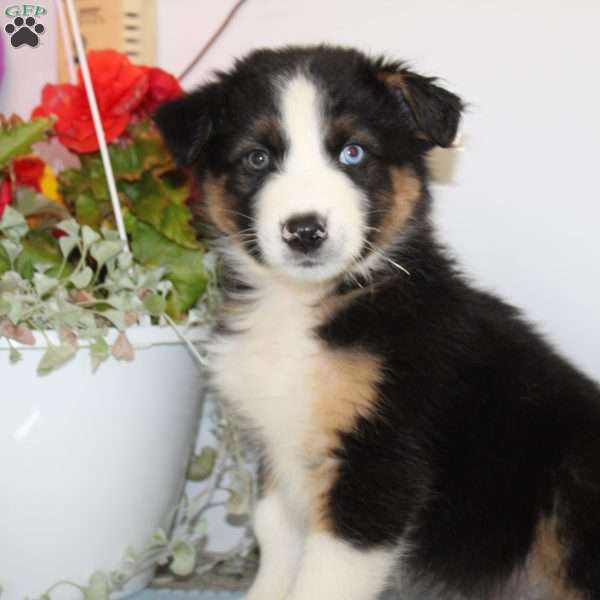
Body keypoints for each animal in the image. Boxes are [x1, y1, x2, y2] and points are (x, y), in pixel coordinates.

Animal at [157, 45, 600, 600]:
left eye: (354, 153)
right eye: (257, 158)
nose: (305, 231)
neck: (303, 305)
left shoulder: (379, 460)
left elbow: (324, 580)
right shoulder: (280, 448)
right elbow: (274, 536)